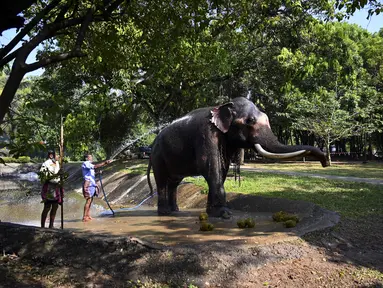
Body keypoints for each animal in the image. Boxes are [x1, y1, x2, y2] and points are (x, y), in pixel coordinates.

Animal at [147, 95, 330, 217]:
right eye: (250, 121)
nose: (325, 162)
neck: (221, 105)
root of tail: (152, 144)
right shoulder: (206, 134)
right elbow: (210, 168)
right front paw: (225, 214)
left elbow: (222, 169)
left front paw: (215, 213)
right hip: (158, 157)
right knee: (162, 181)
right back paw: (165, 213)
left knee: (174, 183)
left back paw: (175, 211)